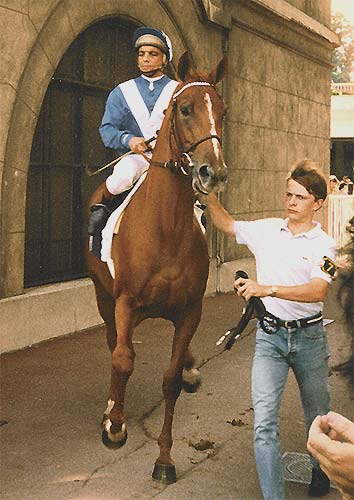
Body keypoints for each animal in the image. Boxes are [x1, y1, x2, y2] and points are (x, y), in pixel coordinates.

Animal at [87, 51, 228, 484]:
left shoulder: (189, 311)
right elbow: (122, 359)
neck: (165, 227)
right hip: (103, 296)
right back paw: (111, 409)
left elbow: (170, 382)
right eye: (184, 109)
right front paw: (114, 425)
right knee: (113, 343)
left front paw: (164, 459)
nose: (213, 172)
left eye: (223, 111)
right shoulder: (124, 302)